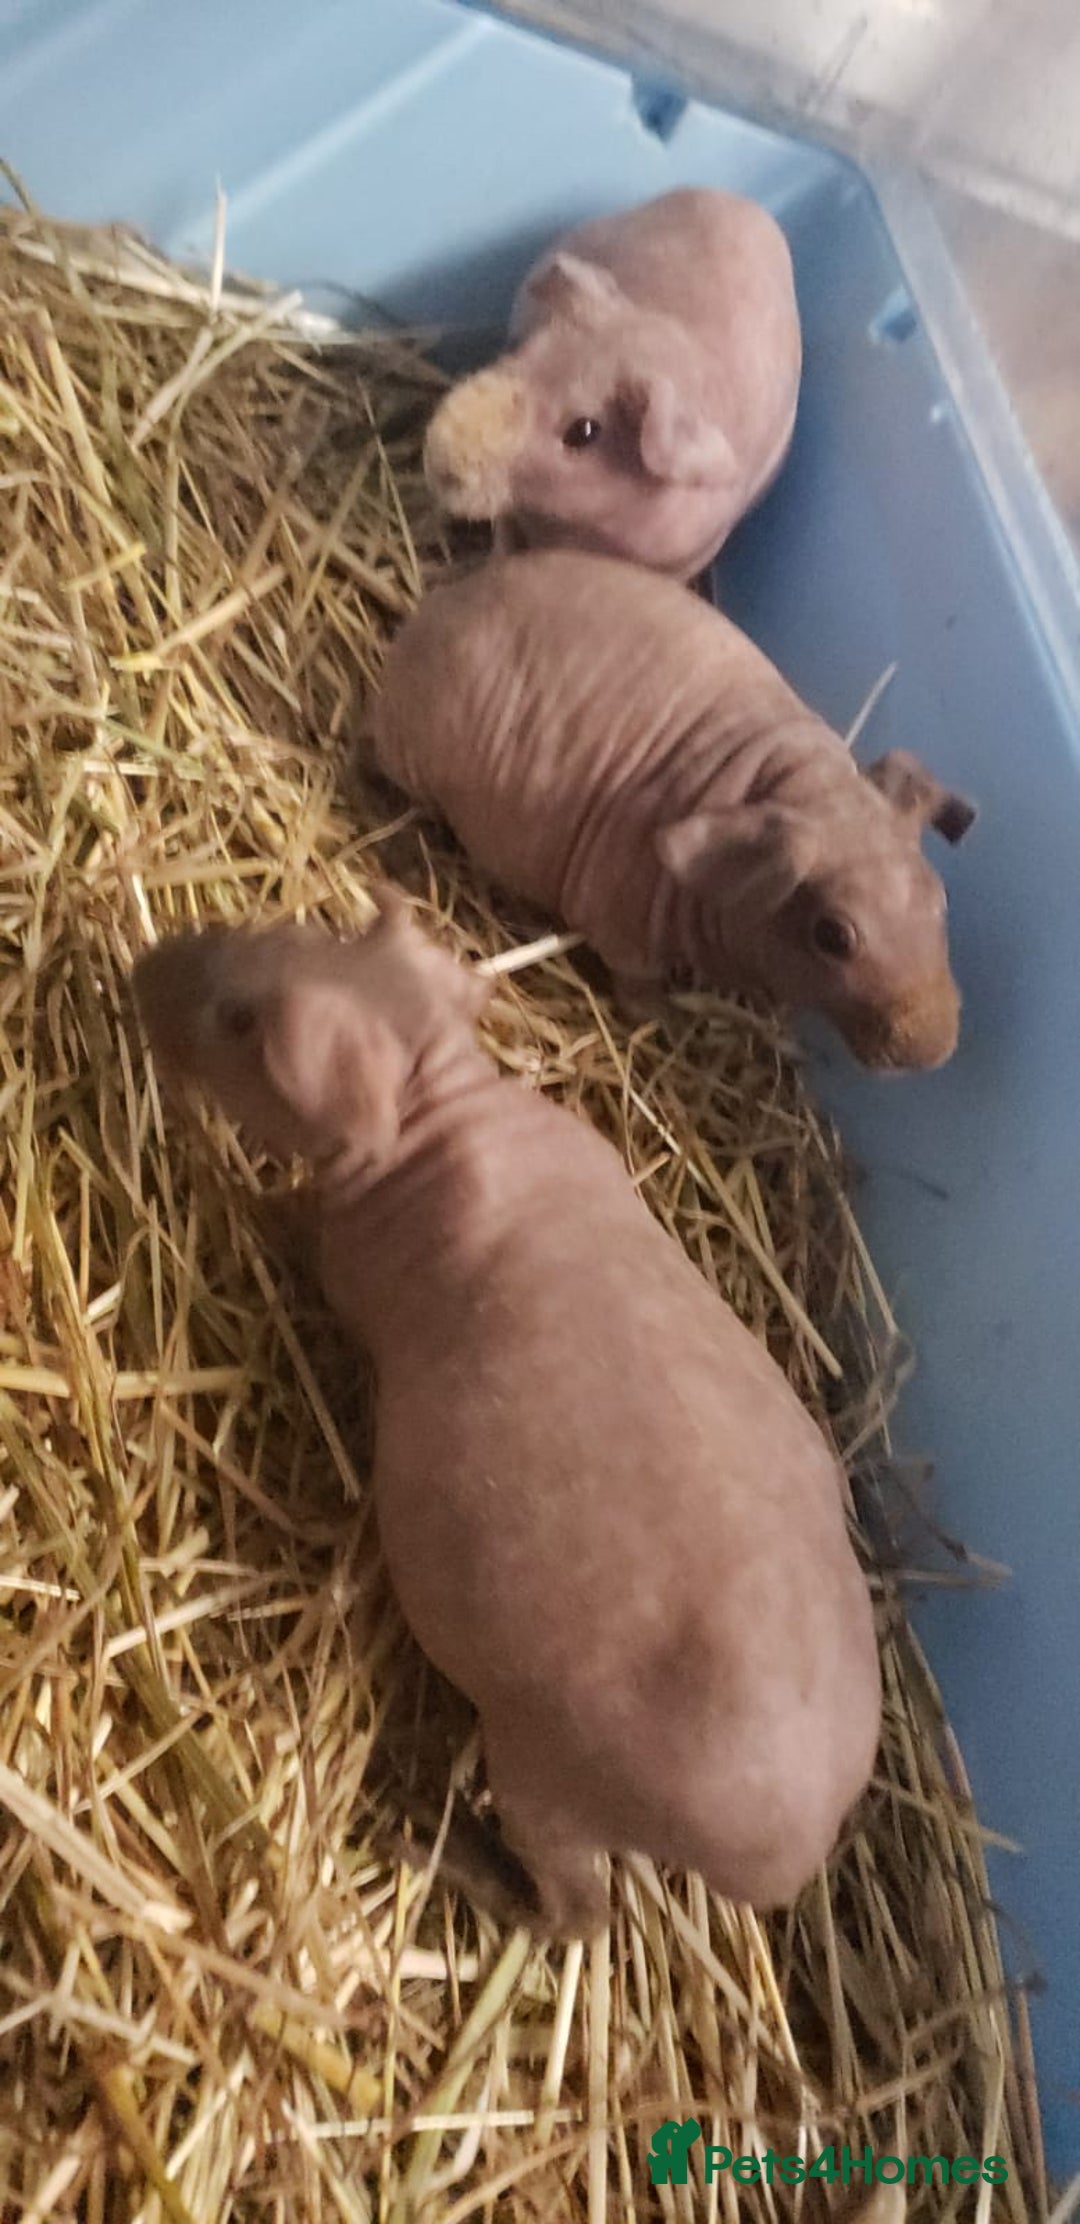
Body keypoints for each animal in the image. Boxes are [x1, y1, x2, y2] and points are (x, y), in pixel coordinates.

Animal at [134, 897, 881, 1937]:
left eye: (245, 1023)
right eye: (284, 930)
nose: (139, 971)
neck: (442, 1105)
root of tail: (791, 1855)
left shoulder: (344, 1264)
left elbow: (301, 1237)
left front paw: (251, 1198)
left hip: (543, 1780)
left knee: (578, 1915)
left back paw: (438, 1856)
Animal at [372, 550, 976, 1072]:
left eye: (941, 900)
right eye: (834, 935)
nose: (935, 1047)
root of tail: (434, 610)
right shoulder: (624, 933)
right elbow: (638, 988)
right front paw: (667, 1019)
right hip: (408, 768)